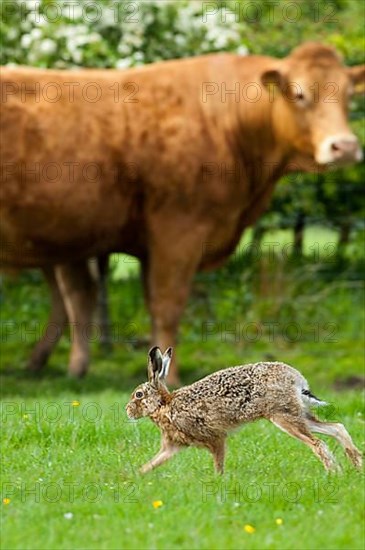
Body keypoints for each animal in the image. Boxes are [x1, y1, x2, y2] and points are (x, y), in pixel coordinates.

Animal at [0, 43, 362, 386]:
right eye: (300, 94)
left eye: (348, 95)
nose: (344, 146)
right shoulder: (178, 230)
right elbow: (168, 304)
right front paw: (170, 378)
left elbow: (151, 303)